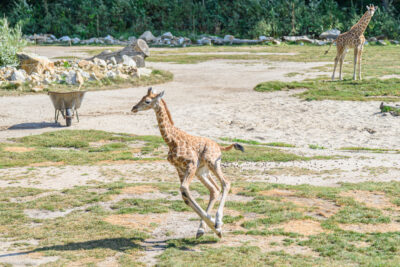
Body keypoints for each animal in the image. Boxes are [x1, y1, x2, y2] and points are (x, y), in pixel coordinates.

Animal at [131, 88, 244, 239]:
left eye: (147, 101)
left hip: (212, 163)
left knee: (226, 183)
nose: (134, 108)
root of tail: (219, 146)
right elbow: (185, 196)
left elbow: (184, 189)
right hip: (201, 171)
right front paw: (211, 226)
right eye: (142, 97)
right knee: (214, 189)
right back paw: (203, 229)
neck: (171, 141)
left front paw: (215, 224)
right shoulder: (179, 168)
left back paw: (218, 221)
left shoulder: (191, 163)